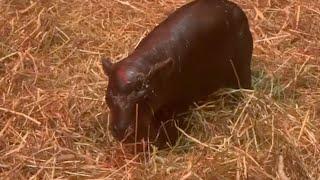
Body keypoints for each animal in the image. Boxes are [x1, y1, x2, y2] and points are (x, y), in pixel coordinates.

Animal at [102, 0, 252, 147]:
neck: (143, 62)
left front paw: (165, 143)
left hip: (243, 67)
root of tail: (235, 7)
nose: (121, 131)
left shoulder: (178, 105)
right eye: (108, 96)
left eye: (144, 97)